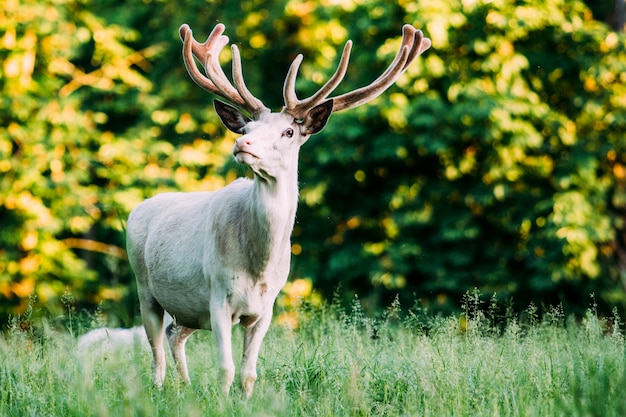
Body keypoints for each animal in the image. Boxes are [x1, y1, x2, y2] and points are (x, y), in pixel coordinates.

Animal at [127, 22, 428, 396]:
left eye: (288, 132)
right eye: (247, 127)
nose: (241, 143)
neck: (257, 265)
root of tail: (138, 208)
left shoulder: (265, 307)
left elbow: (248, 372)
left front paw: (244, 399)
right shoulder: (217, 294)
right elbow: (226, 368)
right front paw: (221, 401)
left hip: (188, 309)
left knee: (174, 335)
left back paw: (185, 386)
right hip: (145, 287)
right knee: (155, 349)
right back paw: (160, 388)